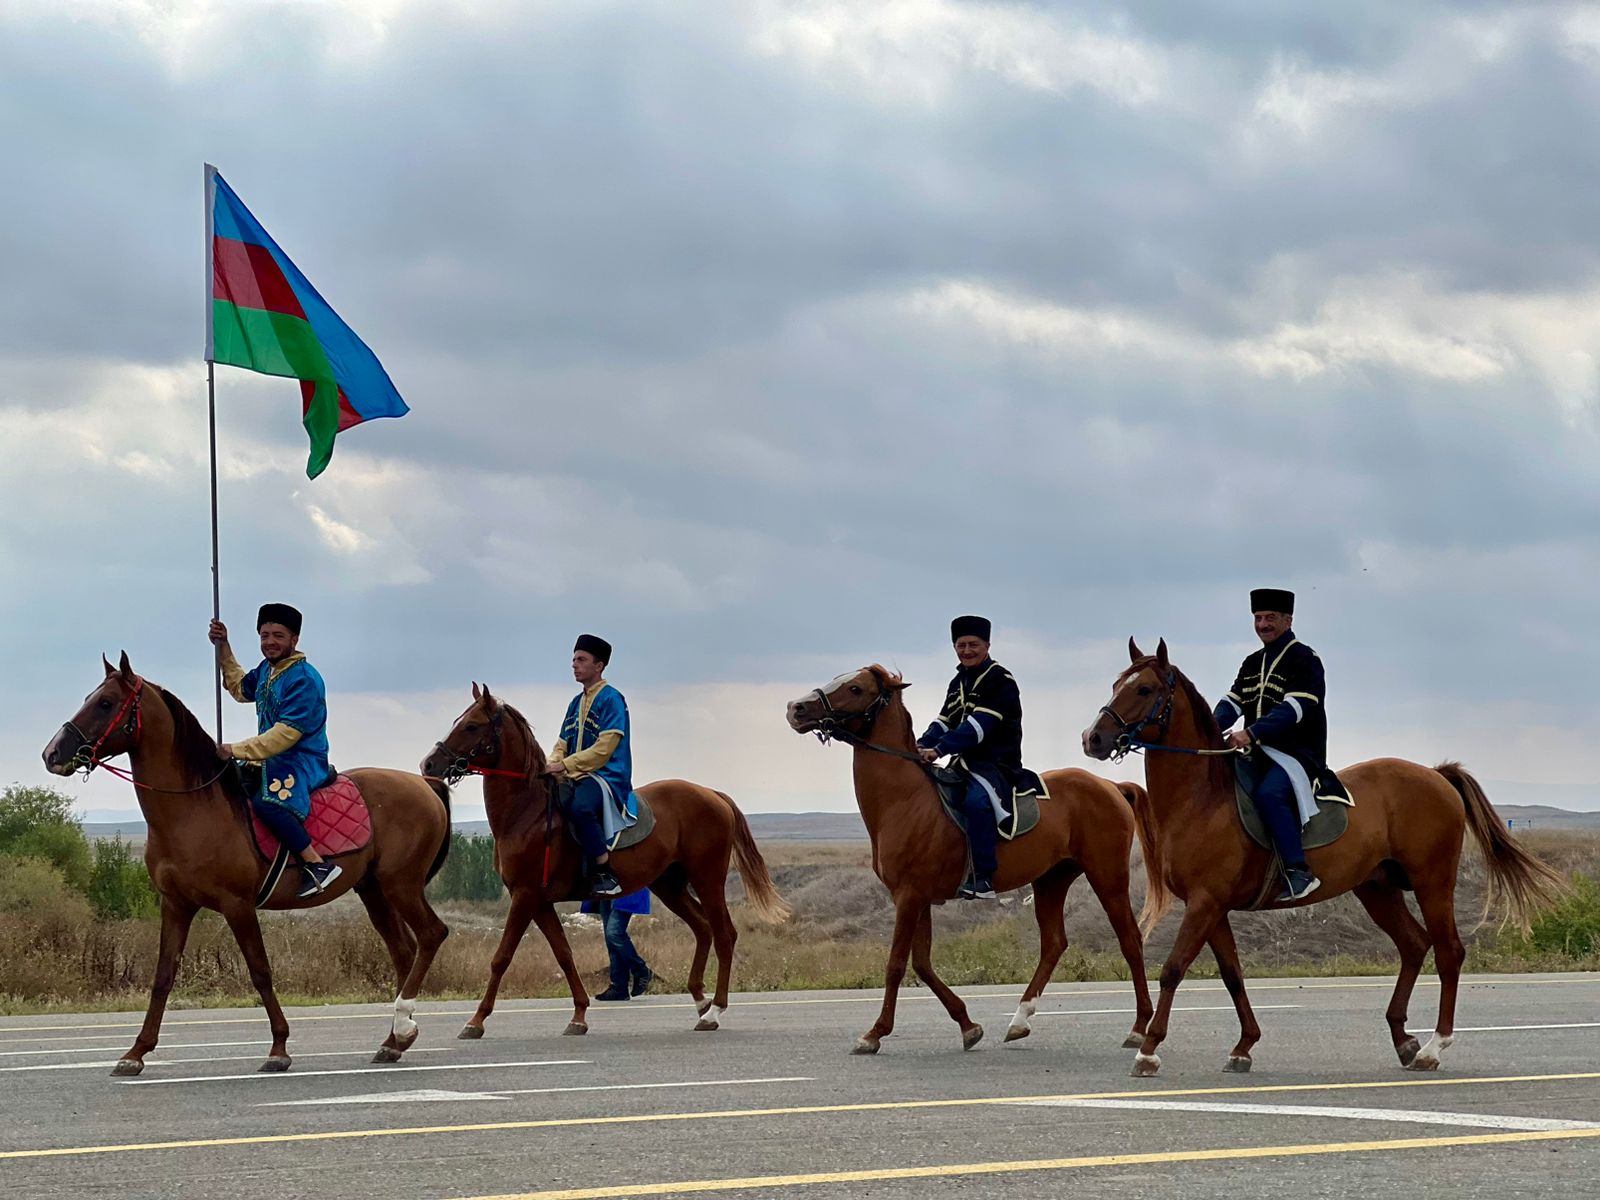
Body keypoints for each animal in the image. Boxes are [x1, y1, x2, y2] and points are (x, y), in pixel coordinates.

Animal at [46, 662, 448, 1075]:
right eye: (91, 699)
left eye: (106, 703)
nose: (52, 753)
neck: (192, 810)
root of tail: (425, 785)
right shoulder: (175, 904)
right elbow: (163, 976)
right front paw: (136, 1052)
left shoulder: (237, 905)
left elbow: (260, 971)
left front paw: (279, 1047)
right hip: (374, 889)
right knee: (404, 952)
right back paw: (394, 1040)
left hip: (401, 884)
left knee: (431, 935)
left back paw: (403, 1024)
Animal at [422, 691, 790, 1036]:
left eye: (472, 726)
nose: (429, 764)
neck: (527, 813)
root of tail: (713, 795)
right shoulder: (539, 902)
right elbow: (564, 954)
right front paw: (579, 1015)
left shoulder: (524, 897)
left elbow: (501, 957)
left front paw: (476, 1021)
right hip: (669, 885)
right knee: (702, 929)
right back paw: (700, 1001)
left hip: (707, 878)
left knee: (724, 934)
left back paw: (715, 1011)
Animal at [784, 672, 1152, 1056]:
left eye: (855, 688)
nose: (796, 708)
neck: (904, 799)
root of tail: (1111, 785)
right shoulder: (920, 899)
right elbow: (922, 964)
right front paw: (968, 1025)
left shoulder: (908, 897)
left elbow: (897, 964)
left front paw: (874, 1033)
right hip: (1051, 880)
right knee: (1053, 943)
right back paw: (1019, 1021)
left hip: (1107, 876)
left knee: (1129, 939)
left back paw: (1139, 1027)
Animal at [1081, 643, 1568, 1088]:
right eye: (1116, 685)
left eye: (1144, 689)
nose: (1093, 738)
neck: (1201, 798)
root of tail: (1434, 774)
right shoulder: (1213, 909)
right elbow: (1232, 975)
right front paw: (1244, 1046)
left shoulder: (1205, 903)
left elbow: (1173, 969)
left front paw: (1148, 1050)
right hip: (1377, 888)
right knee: (1414, 946)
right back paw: (1403, 1040)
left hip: (1434, 882)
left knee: (1449, 951)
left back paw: (1433, 1046)